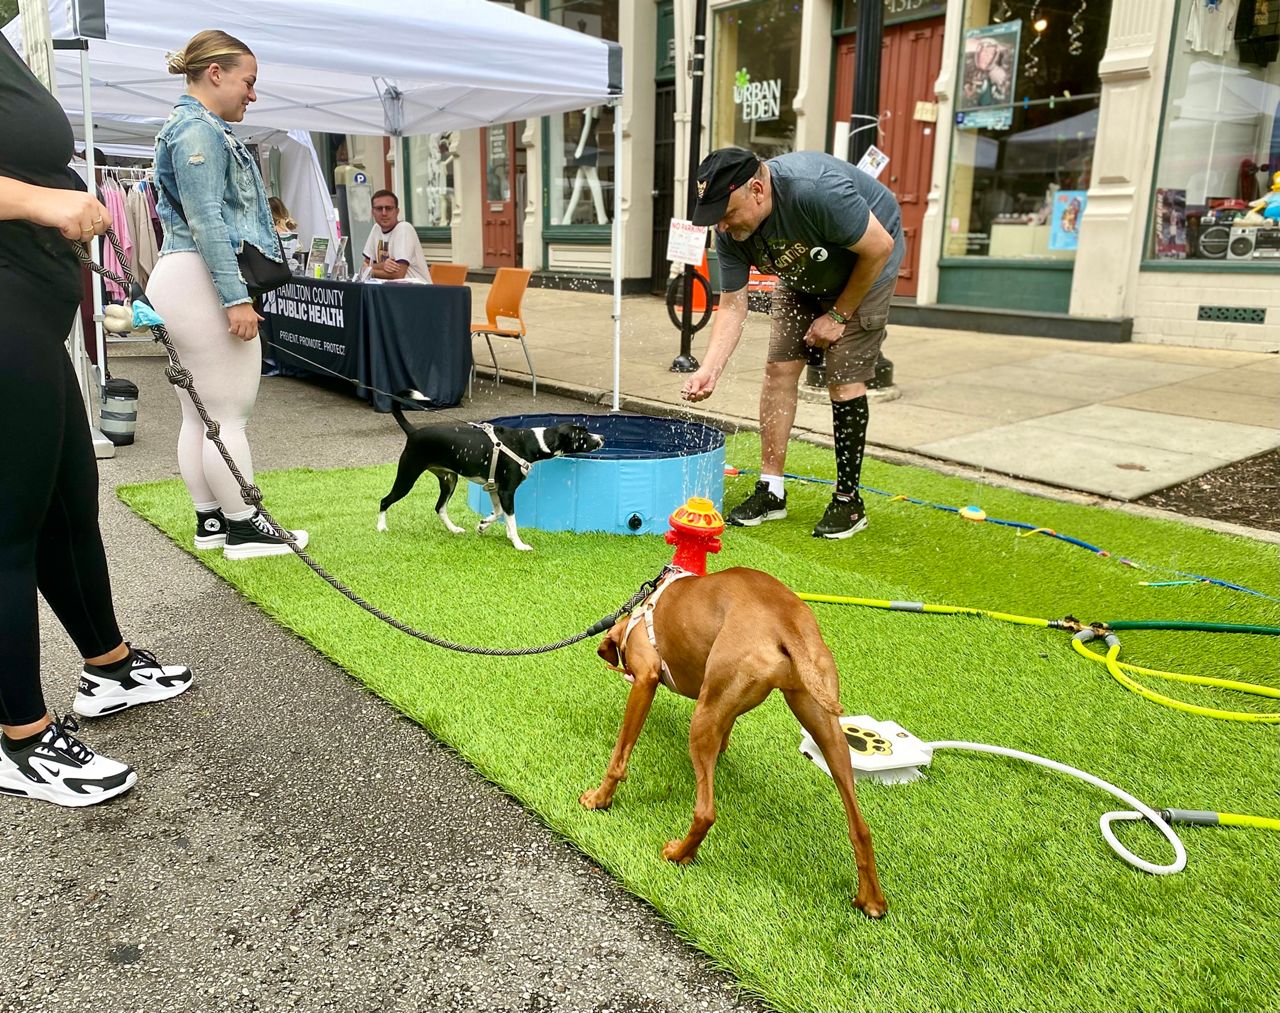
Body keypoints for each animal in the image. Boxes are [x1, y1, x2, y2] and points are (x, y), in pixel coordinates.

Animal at [373, 397, 604, 555]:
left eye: (586, 430)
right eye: (582, 436)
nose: (602, 437)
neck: (532, 442)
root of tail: (413, 432)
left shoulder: (494, 488)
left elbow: (499, 513)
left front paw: (484, 525)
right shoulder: (507, 491)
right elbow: (511, 519)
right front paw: (518, 544)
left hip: (449, 480)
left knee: (440, 507)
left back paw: (454, 529)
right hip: (407, 477)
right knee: (385, 500)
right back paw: (381, 527)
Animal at [586, 566, 885, 922]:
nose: (624, 673)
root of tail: (785, 621)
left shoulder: (645, 678)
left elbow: (620, 753)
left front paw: (600, 798)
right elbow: (725, 737)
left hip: (703, 717)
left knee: (705, 812)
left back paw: (679, 854)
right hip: (826, 728)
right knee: (861, 827)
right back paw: (871, 900)